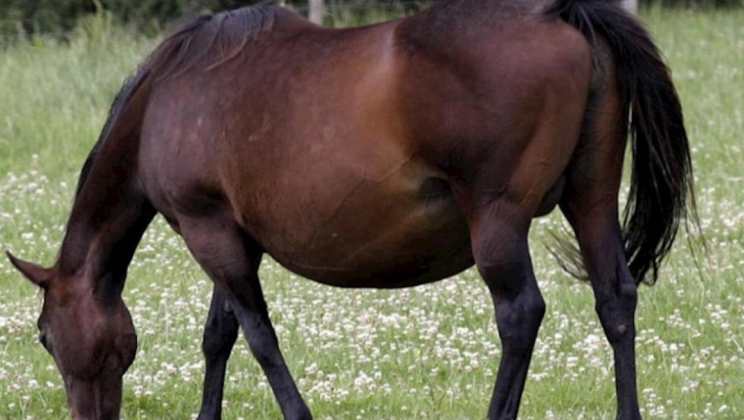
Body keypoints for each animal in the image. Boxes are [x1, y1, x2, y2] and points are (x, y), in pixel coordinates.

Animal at [6, 0, 695, 418]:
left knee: (521, 315)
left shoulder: (209, 233)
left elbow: (258, 337)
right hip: (591, 198)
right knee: (616, 301)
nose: (87, 417)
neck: (165, 100)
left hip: (497, 224)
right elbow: (219, 336)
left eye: (44, 336)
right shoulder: (230, 233)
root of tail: (562, 14)